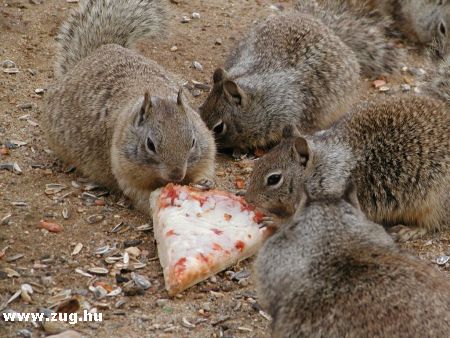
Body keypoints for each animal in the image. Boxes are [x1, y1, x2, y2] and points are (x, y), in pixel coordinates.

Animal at [42, 0, 216, 213]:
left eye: (192, 141)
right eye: (150, 144)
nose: (176, 175)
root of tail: (99, 51)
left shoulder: (206, 149)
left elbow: (204, 169)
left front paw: (205, 183)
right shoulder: (127, 174)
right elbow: (142, 197)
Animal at [248, 60, 448, 238]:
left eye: (274, 179)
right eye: (258, 162)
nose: (249, 198)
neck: (321, 170)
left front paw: (275, 220)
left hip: (433, 201)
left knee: (433, 223)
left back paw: (409, 230)